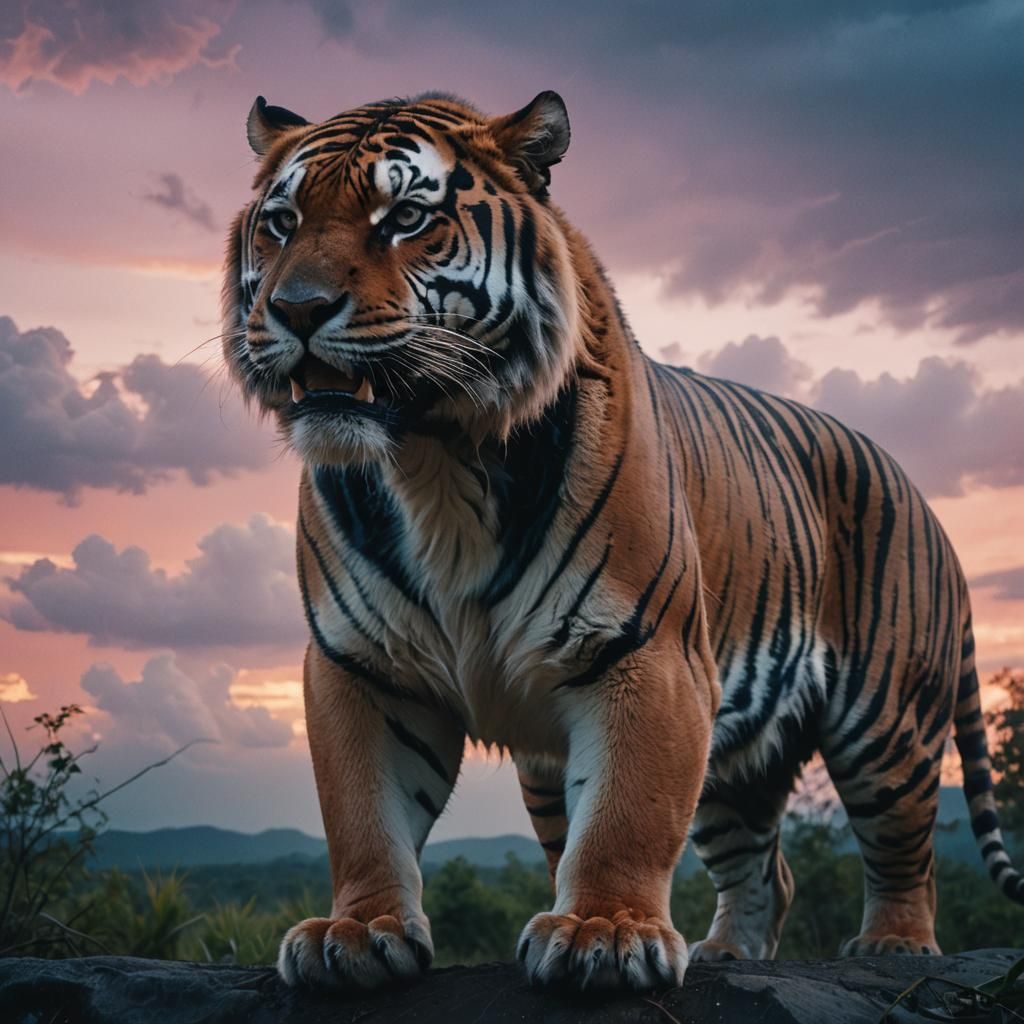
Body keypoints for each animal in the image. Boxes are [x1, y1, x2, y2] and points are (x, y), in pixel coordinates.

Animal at [221, 89, 1022, 993]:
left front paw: (602, 934)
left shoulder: (647, 653)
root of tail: (916, 489)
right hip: (734, 765)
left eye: (406, 217)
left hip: (887, 726)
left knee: (904, 850)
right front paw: (358, 933)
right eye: (282, 222)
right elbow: (363, 814)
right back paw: (726, 953)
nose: (297, 309)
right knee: (765, 869)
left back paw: (893, 945)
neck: (435, 459)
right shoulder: (362, 665)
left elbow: (623, 815)